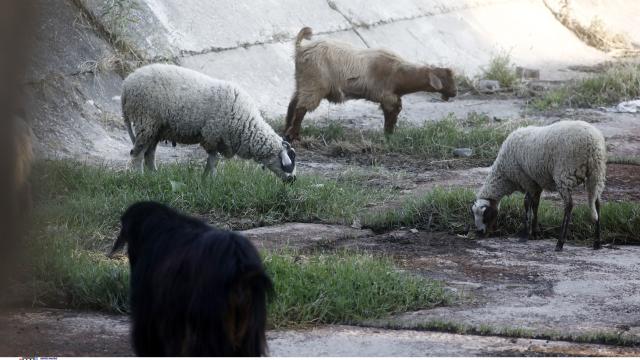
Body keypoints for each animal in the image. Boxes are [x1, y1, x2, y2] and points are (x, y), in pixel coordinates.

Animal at [121, 63, 296, 181]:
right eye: (288, 163)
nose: (293, 180)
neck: (246, 125)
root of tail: (127, 84)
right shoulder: (212, 135)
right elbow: (213, 161)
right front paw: (211, 179)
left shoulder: (218, 140)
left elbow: (212, 161)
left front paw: (207, 179)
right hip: (146, 119)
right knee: (137, 152)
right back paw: (136, 176)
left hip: (156, 127)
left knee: (149, 153)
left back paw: (154, 176)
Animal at [472, 120, 608, 250]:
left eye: (485, 215)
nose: (480, 233)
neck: (504, 176)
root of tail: (593, 143)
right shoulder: (536, 182)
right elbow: (536, 204)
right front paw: (535, 232)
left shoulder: (526, 180)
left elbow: (527, 203)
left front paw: (527, 233)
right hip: (597, 173)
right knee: (597, 203)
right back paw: (597, 243)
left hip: (565, 173)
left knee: (569, 205)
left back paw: (560, 243)